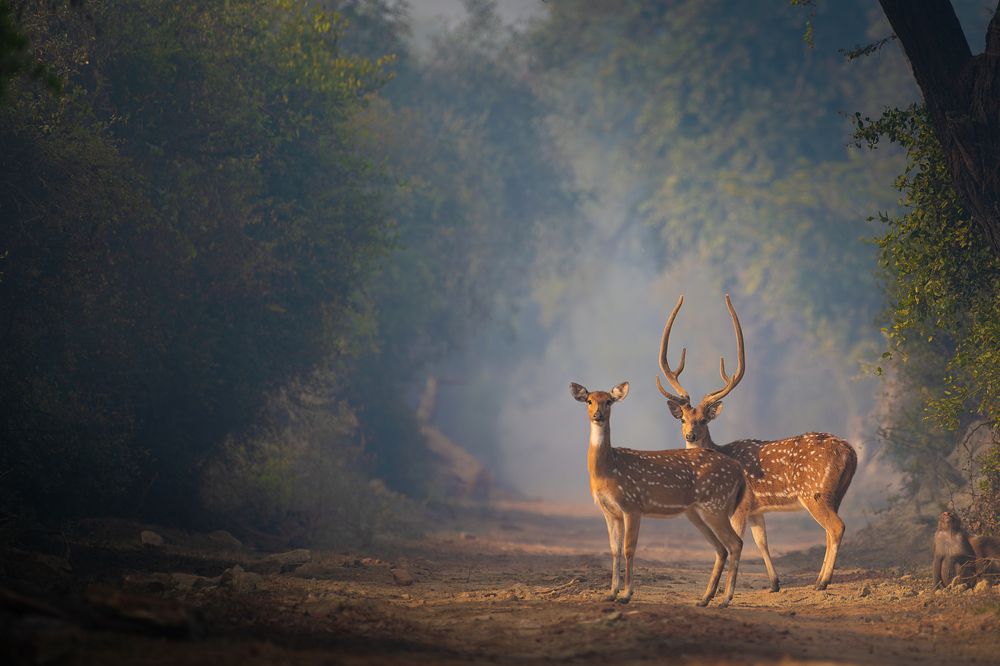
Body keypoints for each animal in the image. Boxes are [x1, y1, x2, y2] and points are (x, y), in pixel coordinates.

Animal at [570, 380, 746, 607]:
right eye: (589, 401)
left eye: (609, 401)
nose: (597, 415)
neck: (608, 469)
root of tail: (739, 469)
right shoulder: (609, 511)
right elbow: (614, 549)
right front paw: (611, 593)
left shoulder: (632, 504)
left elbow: (628, 548)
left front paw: (626, 595)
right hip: (697, 512)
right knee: (721, 548)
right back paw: (705, 598)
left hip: (716, 504)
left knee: (735, 543)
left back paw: (725, 599)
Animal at [654, 295, 857, 592]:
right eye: (683, 419)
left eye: (704, 420)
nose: (690, 435)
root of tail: (851, 451)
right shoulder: (755, 509)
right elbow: (762, 542)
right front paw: (774, 583)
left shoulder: (738, 506)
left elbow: (736, 541)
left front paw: (722, 589)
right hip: (836, 494)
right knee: (832, 530)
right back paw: (819, 578)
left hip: (814, 492)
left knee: (836, 527)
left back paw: (822, 582)